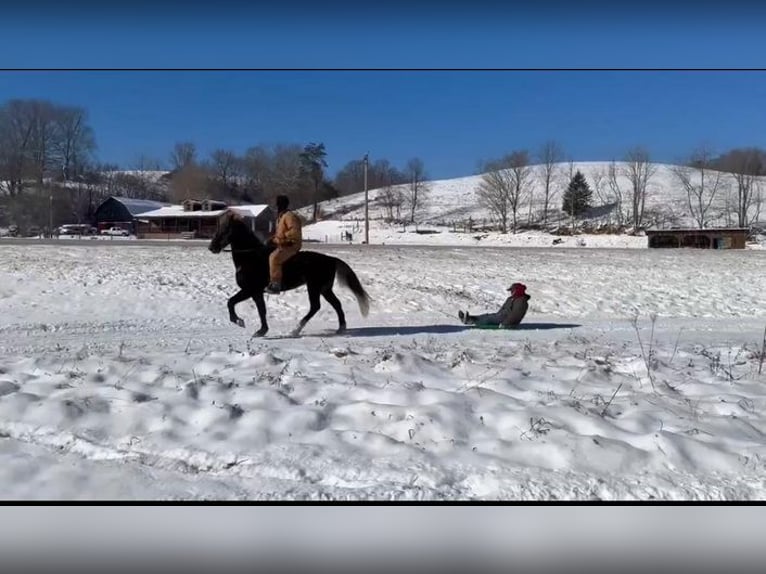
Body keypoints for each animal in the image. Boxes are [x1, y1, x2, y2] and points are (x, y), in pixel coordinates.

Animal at [207, 210, 368, 338]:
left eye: (226, 229)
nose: (211, 247)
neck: (251, 257)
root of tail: (330, 259)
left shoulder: (250, 290)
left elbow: (231, 302)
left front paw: (240, 321)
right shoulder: (256, 292)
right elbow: (261, 310)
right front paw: (261, 330)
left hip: (314, 287)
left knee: (315, 307)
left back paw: (296, 330)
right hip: (324, 289)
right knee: (336, 304)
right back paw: (341, 328)